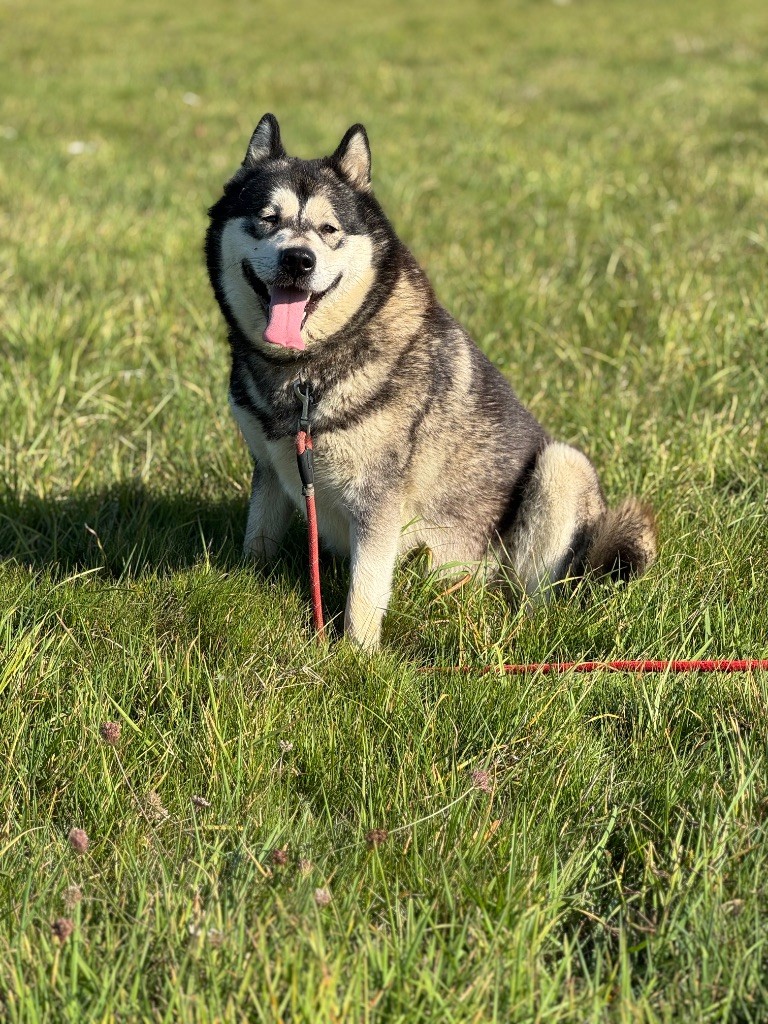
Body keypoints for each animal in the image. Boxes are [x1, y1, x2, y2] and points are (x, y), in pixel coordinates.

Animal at [205, 114, 656, 650]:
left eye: (329, 229)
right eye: (268, 219)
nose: (298, 259)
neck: (305, 372)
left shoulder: (379, 501)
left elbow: (364, 590)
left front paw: (355, 655)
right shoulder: (272, 470)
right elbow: (258, 541)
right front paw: (243, 592)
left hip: (561, 471)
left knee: (532, 591)